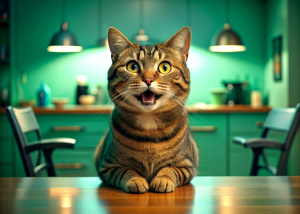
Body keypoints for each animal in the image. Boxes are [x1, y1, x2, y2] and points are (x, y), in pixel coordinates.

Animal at [95, 26, 198, 194]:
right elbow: (125, 171)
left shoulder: (187, 165)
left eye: (164, 67)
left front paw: (163, 180)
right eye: (132, 66)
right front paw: (136, 180)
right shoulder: (108, 166)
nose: (148, 80)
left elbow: (170, 169)